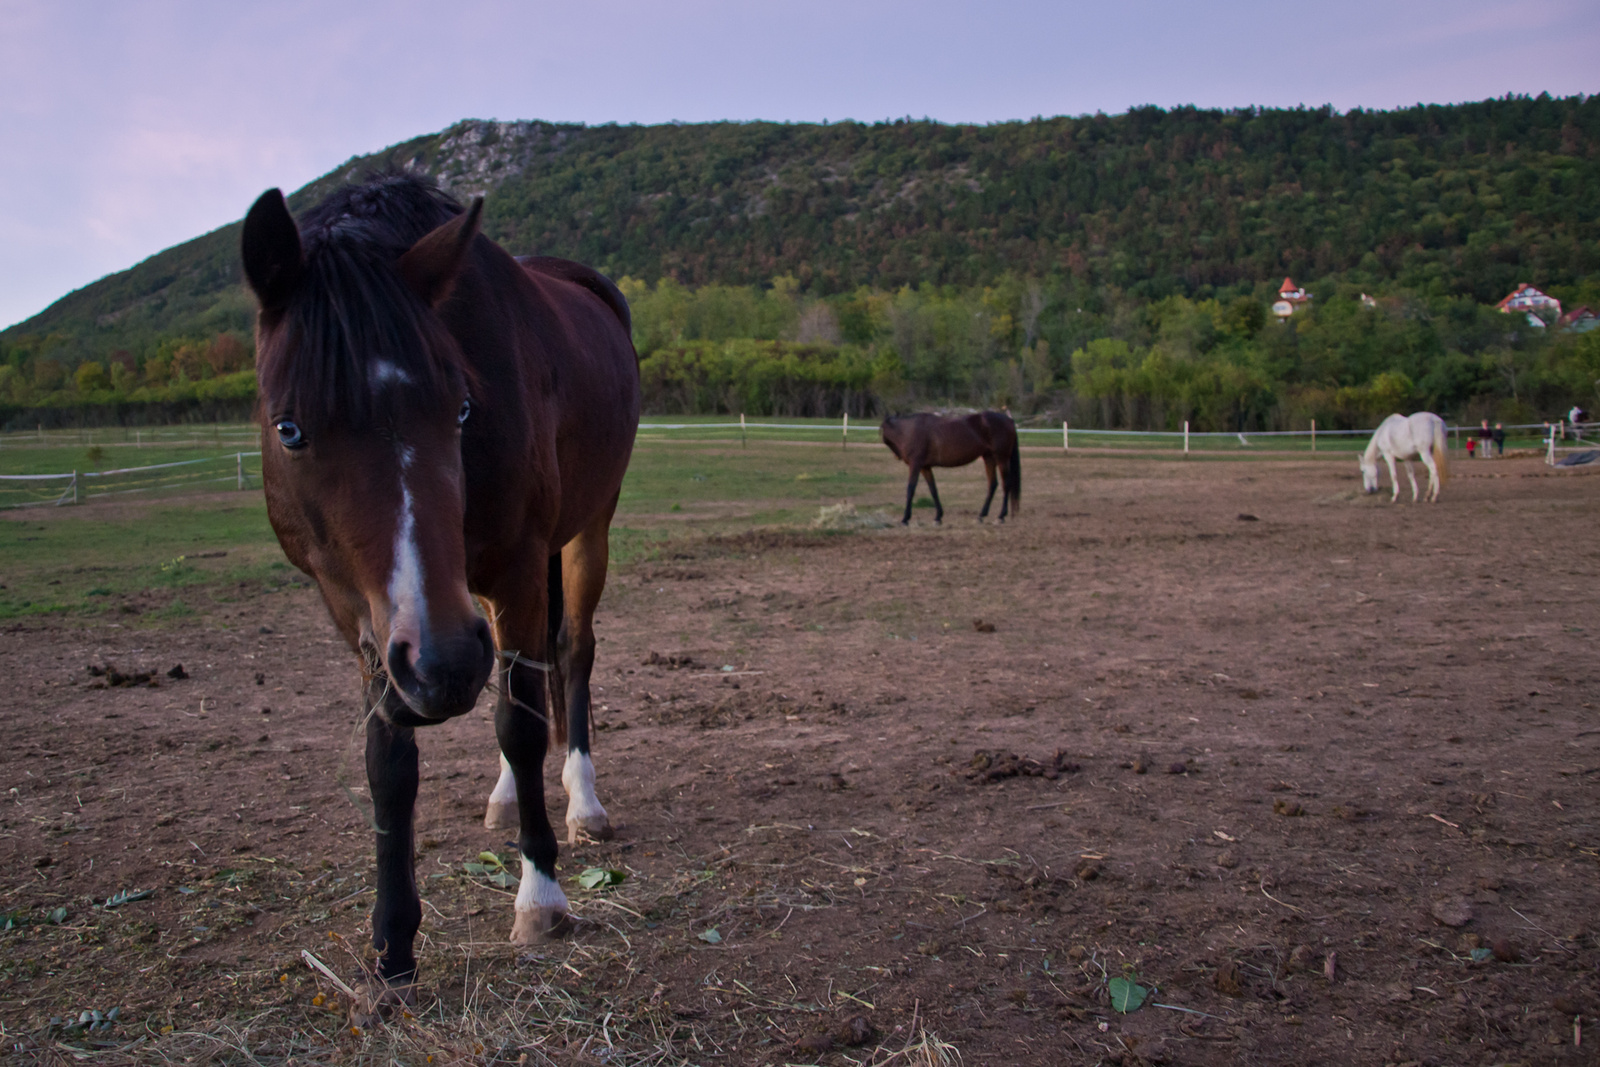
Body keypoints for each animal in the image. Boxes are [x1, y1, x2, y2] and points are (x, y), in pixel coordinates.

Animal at [240, 175, 640, 1004]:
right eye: (289, 428)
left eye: (459, 405)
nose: (444, 663)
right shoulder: (360, 614)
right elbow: (388, 763)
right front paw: (392, 949)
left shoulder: (516, 567)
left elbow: (521, 723)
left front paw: (541, 896)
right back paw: (504, 795)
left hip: (586, 530)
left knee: (572, 655)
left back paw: (583, 801)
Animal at [883, 412, 1017, 524]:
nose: (897, 456)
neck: (909, 430)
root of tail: (1009, 419)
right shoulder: (925, 467)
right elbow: (933, 490)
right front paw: (938, 516)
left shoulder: (915, 465)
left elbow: (911, 489)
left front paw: (905, 518)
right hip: (989, 458)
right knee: (992, 484)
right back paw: (981, 515)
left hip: (1001, 458)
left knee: (1006, 484)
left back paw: (1001, 516)